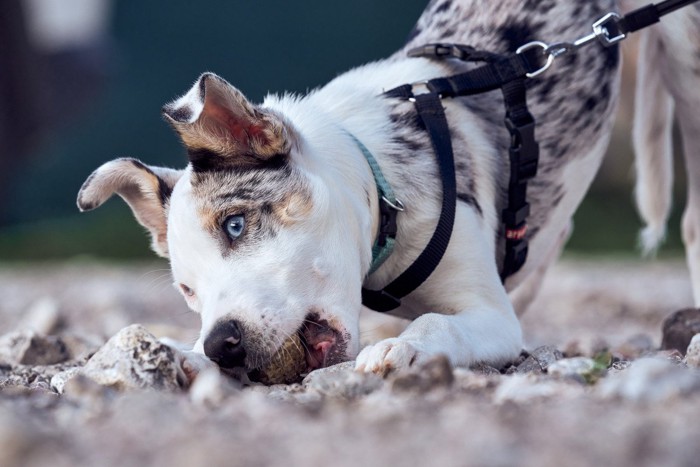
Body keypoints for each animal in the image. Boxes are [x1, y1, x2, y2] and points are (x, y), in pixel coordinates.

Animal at [75, 0, 700, 380]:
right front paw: (179, 354)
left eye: (235, 225)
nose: (220, 344)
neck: (384, 193)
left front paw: (408, 347)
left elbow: (442, 322)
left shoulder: (488, 314)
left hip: (687, 61)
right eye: (187, 289)